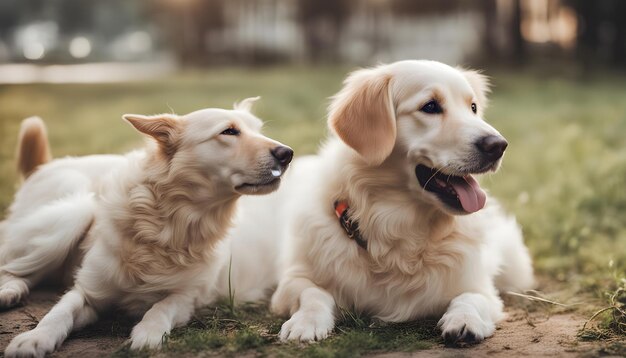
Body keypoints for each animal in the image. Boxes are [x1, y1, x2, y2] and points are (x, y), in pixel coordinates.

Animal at [0, 98, 292, 358]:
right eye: (229, 131)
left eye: (259, 130)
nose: (287, 154)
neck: (168, 224)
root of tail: (44, 166)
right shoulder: (87, 291)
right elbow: (58, 312)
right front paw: (34, 338)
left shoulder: (187, 297)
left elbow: (161, 306)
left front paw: (148, 333)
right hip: (74, 211)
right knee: (13, 267)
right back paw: (9, 292)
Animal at [218, 60, 532, 346]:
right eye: (430, 106)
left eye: (473, 108)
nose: (498, 145)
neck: (396, 226)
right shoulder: (292, 282)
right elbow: (314, 294)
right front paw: (305, 322)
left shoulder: (480, 287)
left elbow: (470, 298)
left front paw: (465, 320)